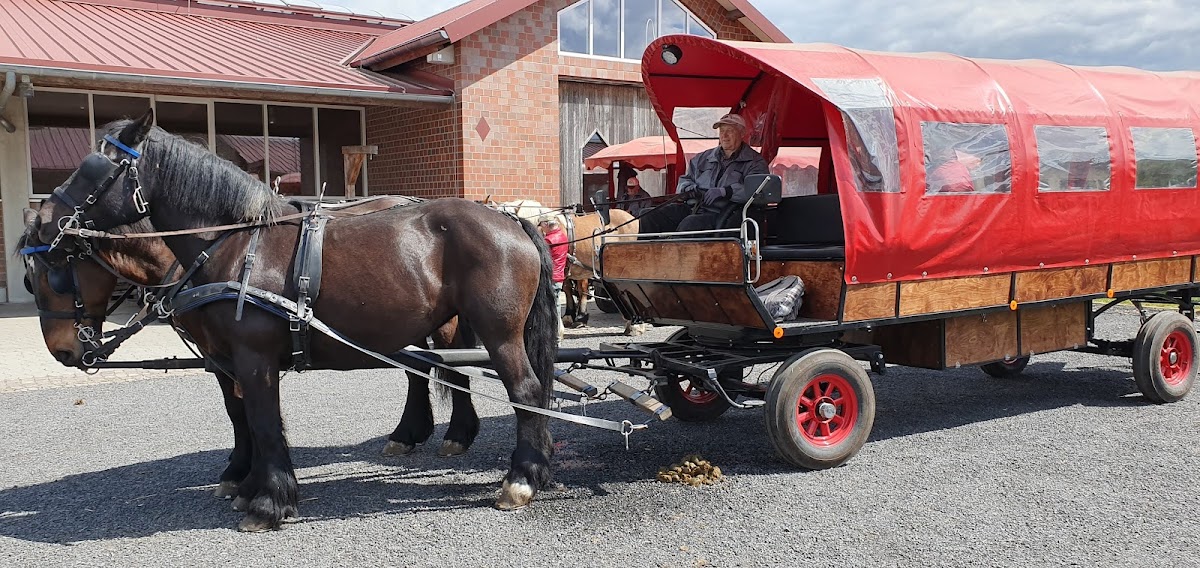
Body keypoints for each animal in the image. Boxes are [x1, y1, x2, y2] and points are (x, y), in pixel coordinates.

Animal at [34, 110, 558, 531]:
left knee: (525, 391)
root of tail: (510, 219)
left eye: (96, 170)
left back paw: (520, 479)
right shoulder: (226, 359)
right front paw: (248, 484)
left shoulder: (253, 357)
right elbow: (245, 418)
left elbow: (263, 421)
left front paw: (267, 503)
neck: (234, 242)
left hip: (499, 333)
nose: (47, 220)